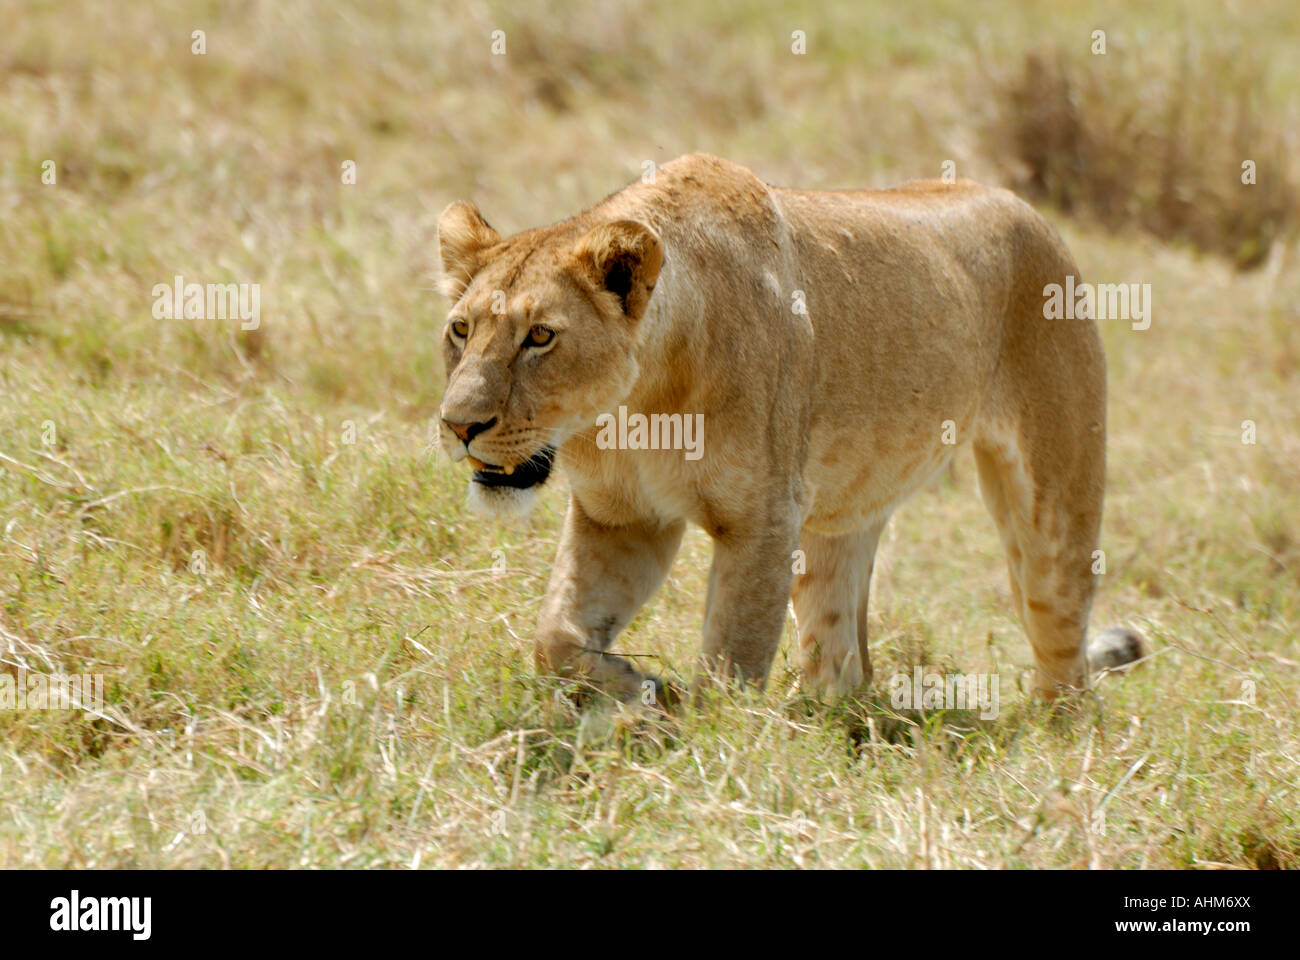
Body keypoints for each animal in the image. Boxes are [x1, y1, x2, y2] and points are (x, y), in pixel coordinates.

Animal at [435, 153, 1143, 704]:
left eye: (540, 337)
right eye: (461, 330)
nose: (458, 425)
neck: (633, 410)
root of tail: (1033, 213)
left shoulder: (763, 520)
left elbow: (731, 662)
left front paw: (705, 742)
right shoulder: (622, 518)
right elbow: (554, 636)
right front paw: (640, 687)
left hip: (1054, 506)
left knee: (1065, 656)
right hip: (837, 522)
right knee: (845, 654)